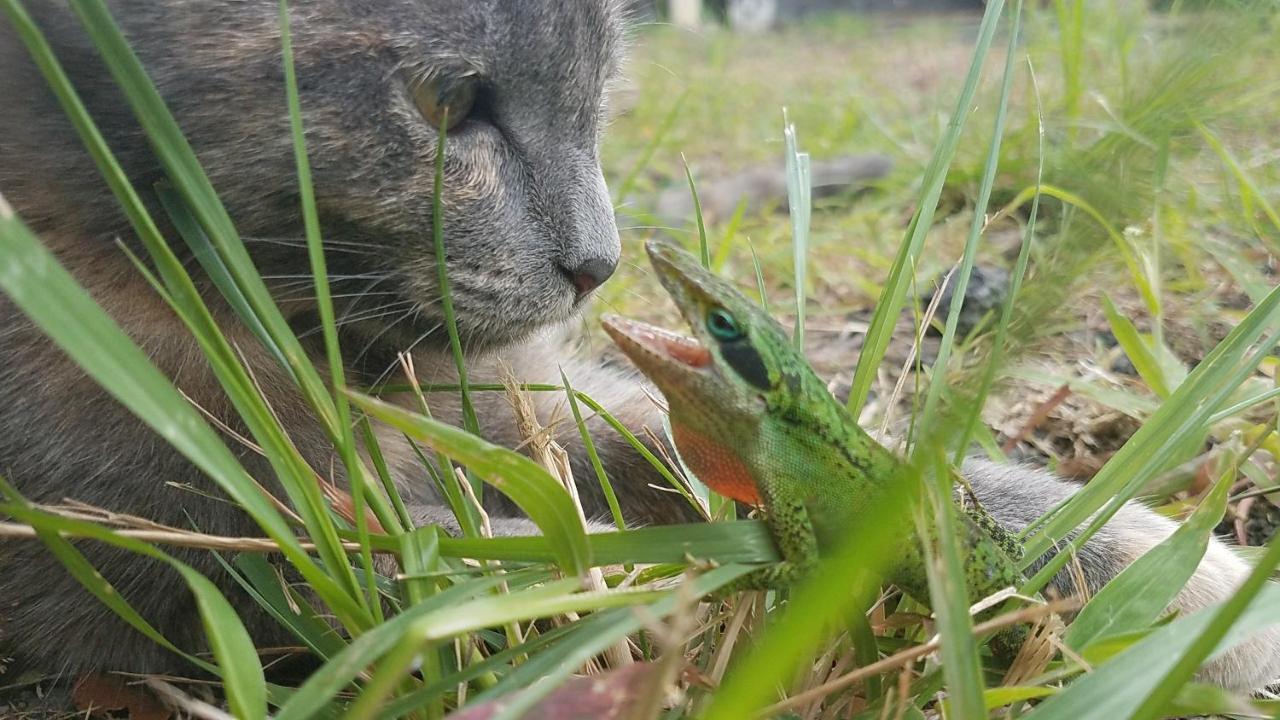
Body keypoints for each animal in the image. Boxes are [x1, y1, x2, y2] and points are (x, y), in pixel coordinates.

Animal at [0, 0, 1274, 686]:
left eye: (602, 103)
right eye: (444, 100)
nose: (597, 262)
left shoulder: (534, 388)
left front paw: (1182, 576)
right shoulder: (160, 550)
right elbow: (519, 557)